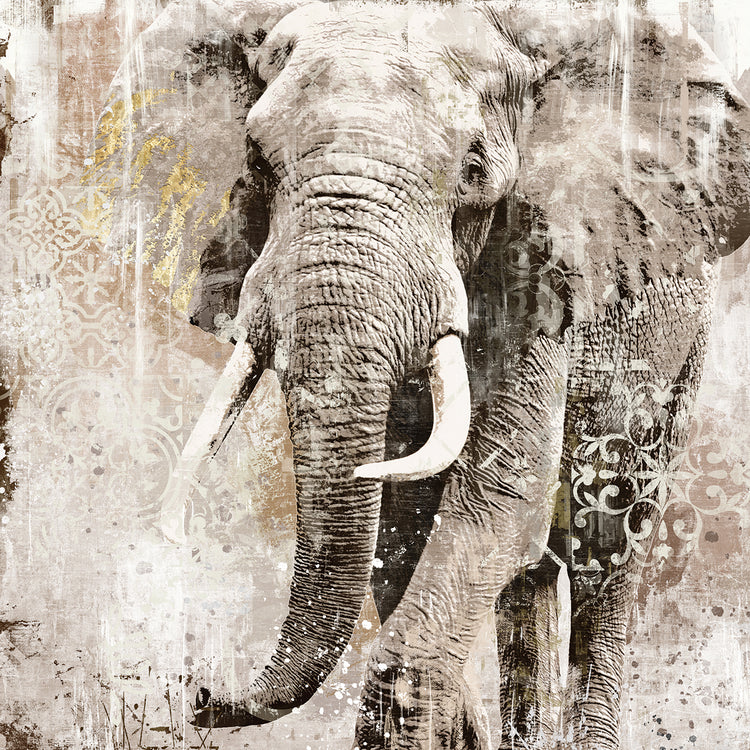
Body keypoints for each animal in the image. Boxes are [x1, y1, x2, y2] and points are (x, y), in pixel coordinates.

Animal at [87, 0, 750, 747]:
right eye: (255, 160)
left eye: (473, 170)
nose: (200, 691)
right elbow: (402, 519)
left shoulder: (542, 269)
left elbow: (500, 498)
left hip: (678, 343)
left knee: (605, 547)